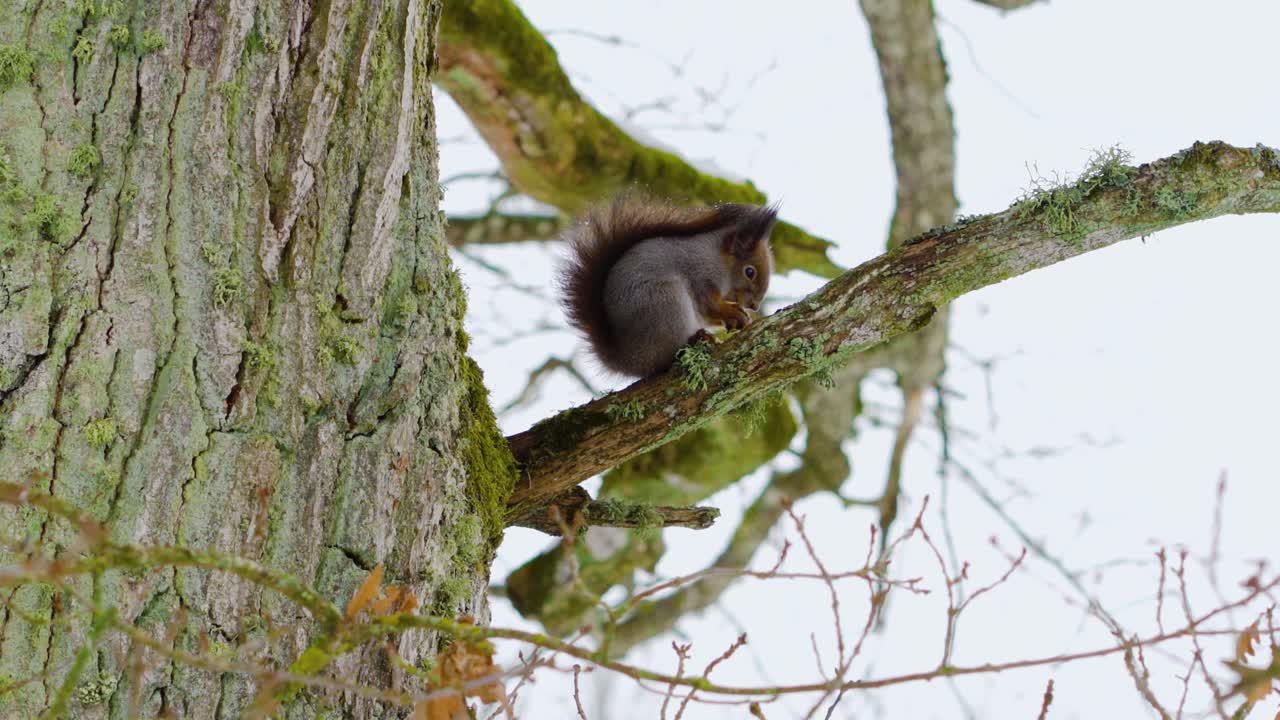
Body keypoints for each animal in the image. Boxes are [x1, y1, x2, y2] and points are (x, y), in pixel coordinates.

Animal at [559, 194, 778, 378]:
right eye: (750, 272)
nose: (755, 305)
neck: (717, 259)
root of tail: (629, 360)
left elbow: (708, 315)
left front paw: (740, 317)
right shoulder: (700, 275)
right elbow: (709, 304)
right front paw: (732, 311)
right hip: (666, 302)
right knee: (664, 359)